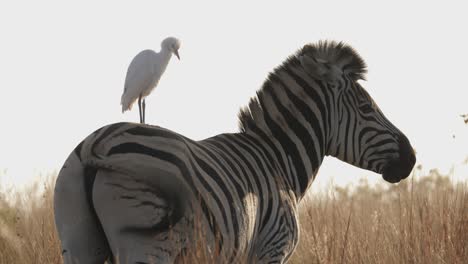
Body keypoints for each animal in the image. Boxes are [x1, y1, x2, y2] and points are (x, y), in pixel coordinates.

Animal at [53, 40, 414, 262]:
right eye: (366, 108)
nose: (411, 158)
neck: (278, 160)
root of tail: (97, 144)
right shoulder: (272, 248)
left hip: (77, 243)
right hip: (147, 246)